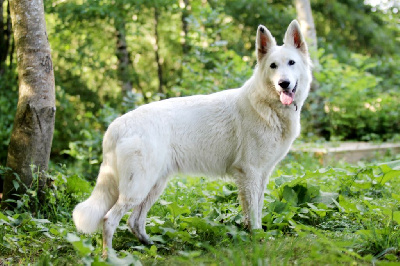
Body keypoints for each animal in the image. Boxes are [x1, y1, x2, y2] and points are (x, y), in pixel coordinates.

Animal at [72, 19, 312, 255]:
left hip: (154, 185)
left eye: (291, 63)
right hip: (138, 188)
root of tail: (115, 126)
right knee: (109, 220)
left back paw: (153, 247)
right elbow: (253, 214)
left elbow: (258, 209)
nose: (283, 83)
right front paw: (257, 240)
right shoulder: (249, 173)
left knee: (135, 221)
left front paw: (256, 236)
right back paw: (109, 257)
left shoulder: (261, 175)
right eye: (273, 66)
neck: (269, 106)